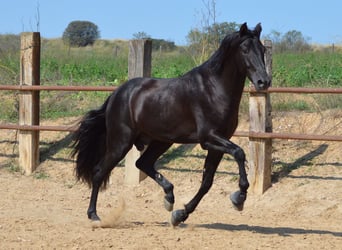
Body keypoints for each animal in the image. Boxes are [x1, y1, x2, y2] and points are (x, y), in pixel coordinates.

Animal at [71, 23, 270, 227]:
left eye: (263, 50)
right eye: (245, 49)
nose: (264, 82)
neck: (214, 89)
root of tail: (116, 94)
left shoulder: (218, 144)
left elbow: (207, 182)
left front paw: (180, 214)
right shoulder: (208, 138)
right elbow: (239, 152)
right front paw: (239, 197)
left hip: (161, 141)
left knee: (142, 163)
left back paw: (169, 197)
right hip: (121, 142)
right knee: (99, 172)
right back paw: (94, 215)